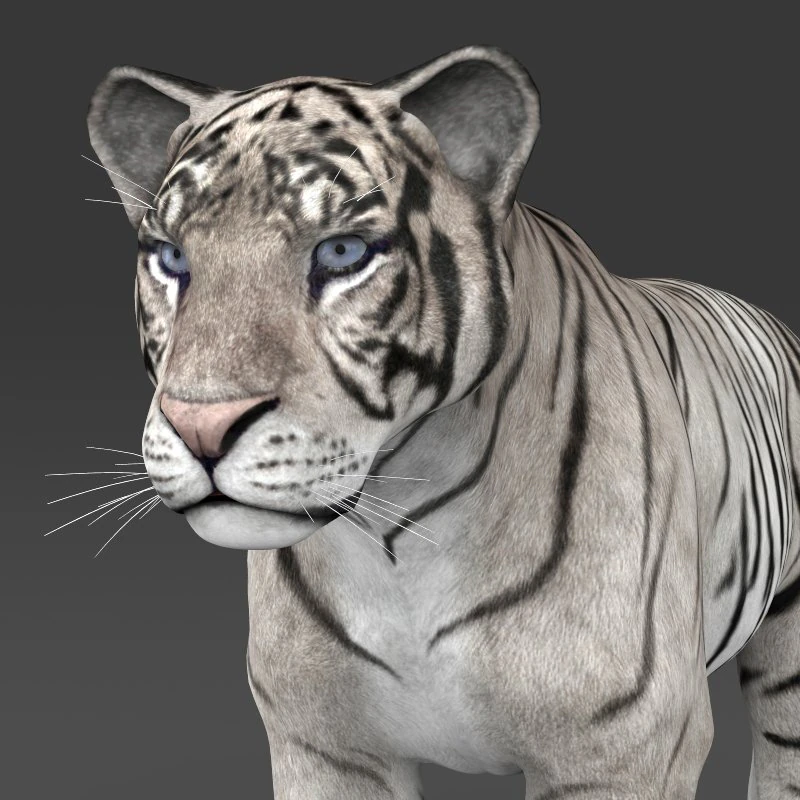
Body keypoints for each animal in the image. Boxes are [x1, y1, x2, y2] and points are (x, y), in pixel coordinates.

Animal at [85, 45, 799, 799]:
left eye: (342, 253)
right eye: (171, 257)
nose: (201, 427)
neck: (398, 540)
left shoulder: (621, 752)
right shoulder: (326, 746)